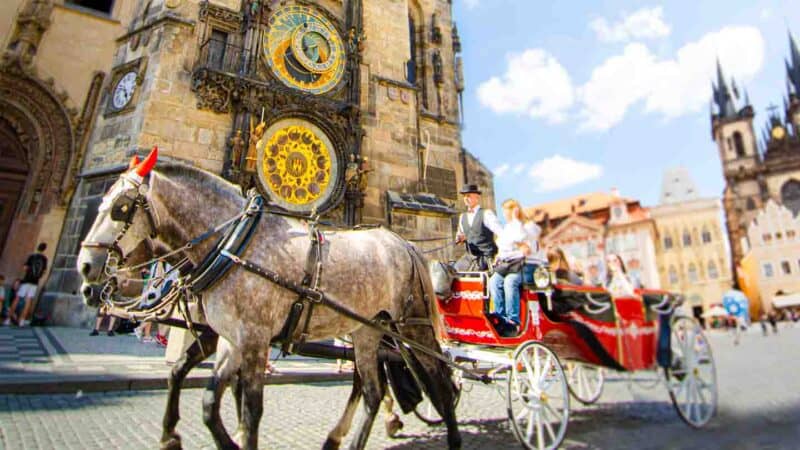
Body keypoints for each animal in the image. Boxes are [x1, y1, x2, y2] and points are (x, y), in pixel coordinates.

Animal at [78, 149, 462, 450]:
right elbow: (205, 397)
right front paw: (188, 436)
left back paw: (452, 436)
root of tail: (405, 244)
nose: (85, 269)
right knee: (371, 389)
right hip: (367, 330)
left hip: (413, 325)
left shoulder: (252, 336)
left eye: (121, 207)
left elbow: (250, 410)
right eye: (103, 201)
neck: (233, 244)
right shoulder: (231, 337)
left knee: (440, 377)